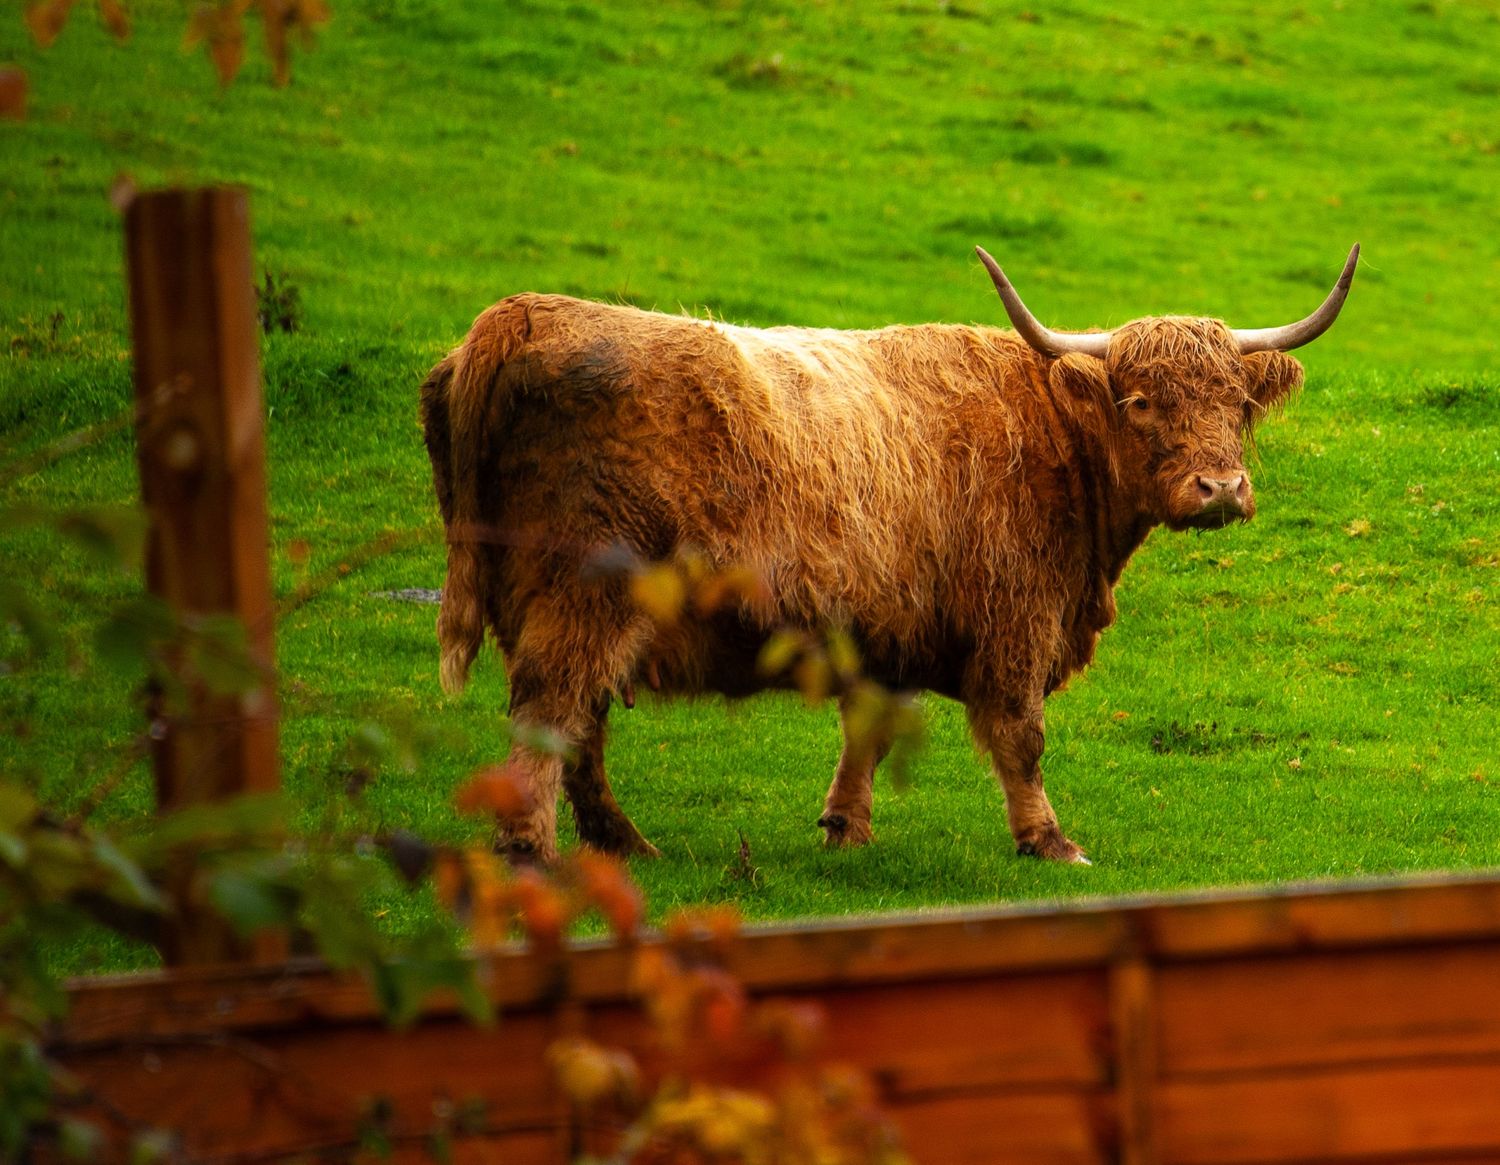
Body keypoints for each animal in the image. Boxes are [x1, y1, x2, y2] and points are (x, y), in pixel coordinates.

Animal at [421, 244, 1358, 864]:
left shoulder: (892, 623)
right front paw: (1050, 840)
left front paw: (846, 828)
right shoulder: (1015, 620)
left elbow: (867, 729)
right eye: (1139, 401)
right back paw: (533, 848)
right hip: (586, 594)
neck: (1056, 435)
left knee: (580, 721)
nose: (1221, 488)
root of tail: (519, 315)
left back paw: (623, 842)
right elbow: (1021, 736)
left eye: (1238, 403)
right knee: (556, 708)